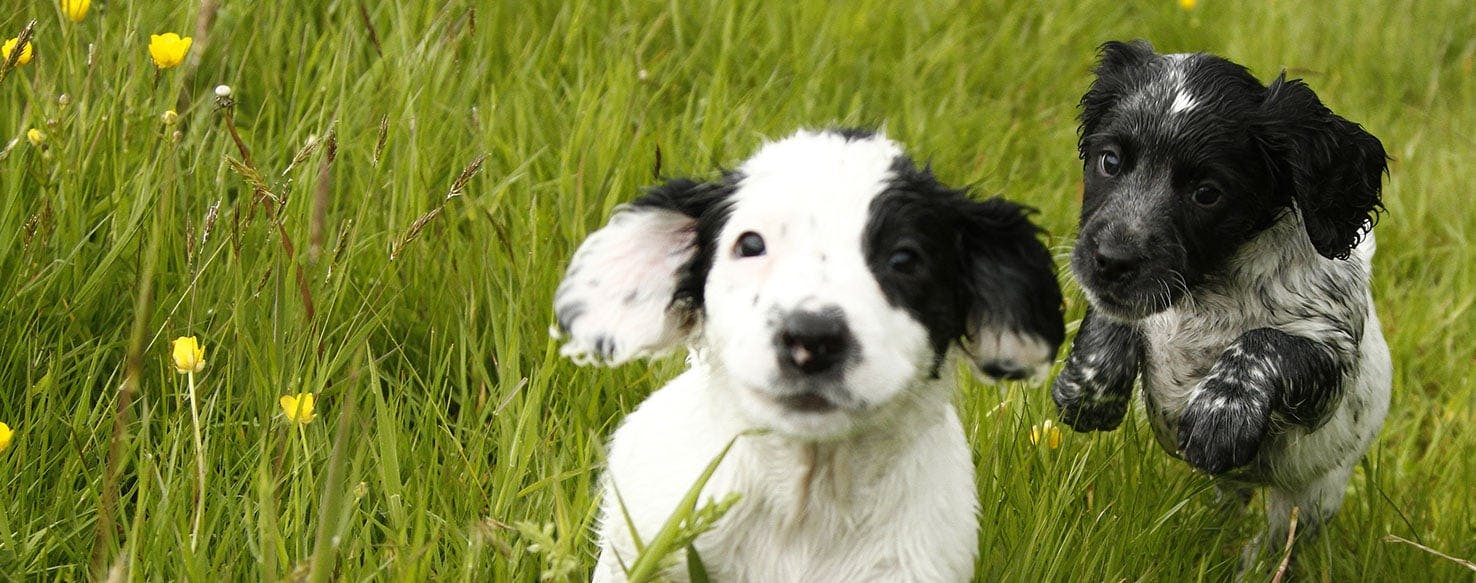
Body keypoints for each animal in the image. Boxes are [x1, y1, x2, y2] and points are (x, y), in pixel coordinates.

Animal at [1056, 40, 1387, 560]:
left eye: (1207, 193)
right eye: (1109, 161)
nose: (1111, 260)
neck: (1209, 291)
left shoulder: (1330, 361)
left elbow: (1267, 341)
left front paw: (1220, 415)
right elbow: (1115, 314)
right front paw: (1088, 390)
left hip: (1311, 497)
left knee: (1276, 541)